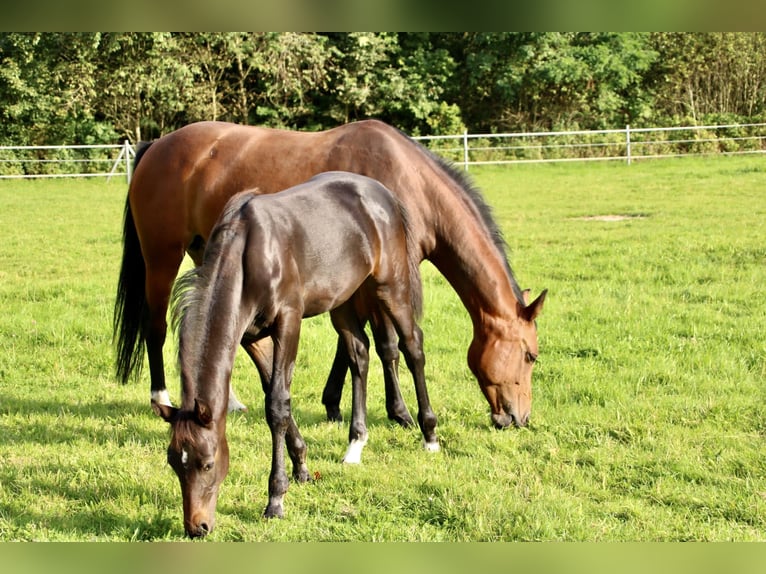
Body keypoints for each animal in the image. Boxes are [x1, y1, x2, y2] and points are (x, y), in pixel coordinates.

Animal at [114, 119, 546, 430]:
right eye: (530, 355)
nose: (518, 419)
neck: (406, 180)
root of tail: (157, 145)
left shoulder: (356, 280)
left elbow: (352, 343)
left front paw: (334, 403)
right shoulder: (379, 280)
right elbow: (387, 345)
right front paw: (399, 412)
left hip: (210, 255)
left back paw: (232, 399)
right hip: (162, 257)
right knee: (156, 327)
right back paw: (162, 399)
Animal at [152, 172, 433, 535]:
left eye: (207, 463)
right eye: (174, 461)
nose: (196, 526)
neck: (248, 253)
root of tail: (381, 192)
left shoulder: (288, 323)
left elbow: (276, 404)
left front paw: (276, 499)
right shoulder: (250, 337)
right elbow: (274, 395)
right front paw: (301, 466)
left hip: (390, 287)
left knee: (413, 345)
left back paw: (429, 434)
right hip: (344, 300)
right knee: (359, 353)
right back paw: (355, 445)